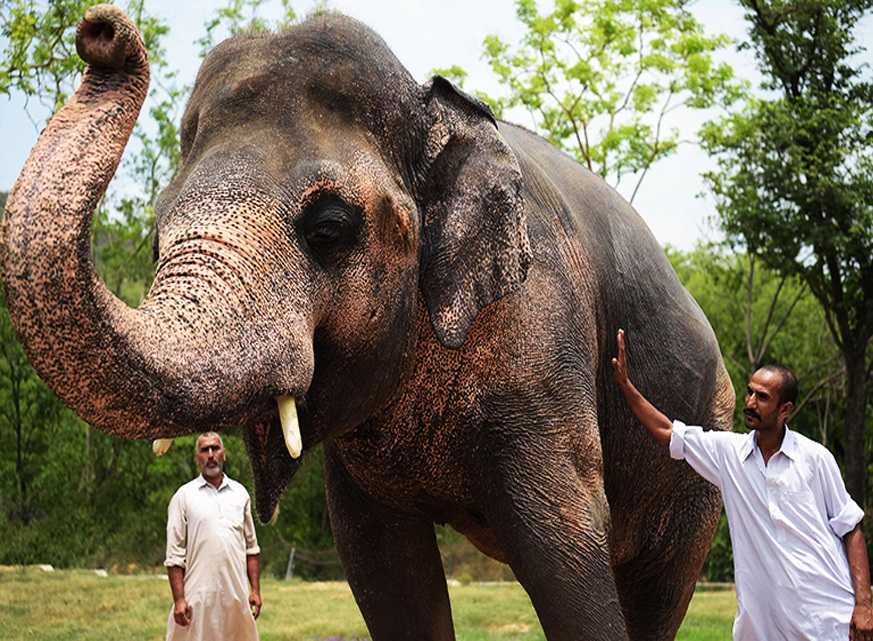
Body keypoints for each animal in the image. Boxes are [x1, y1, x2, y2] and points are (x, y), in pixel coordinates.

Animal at [1, 6, 736, 640]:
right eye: (155, 241)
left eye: (329, 227)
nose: (100, 32)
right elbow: (384, 568)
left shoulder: (543, 347)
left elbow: (565, 559)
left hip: (703, 448)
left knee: (655, 591)